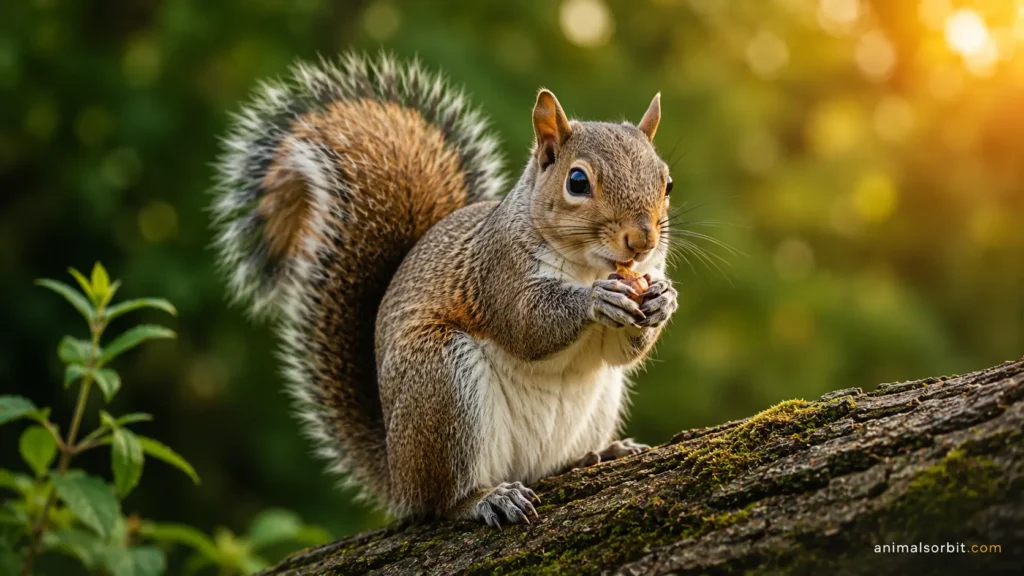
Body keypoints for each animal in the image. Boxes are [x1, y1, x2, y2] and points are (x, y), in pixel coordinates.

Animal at [211, 53, 678, 528]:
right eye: (578, 182)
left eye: (667, 183)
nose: (641, 241)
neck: (587, 266)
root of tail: (399, 477)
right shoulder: (497, 272)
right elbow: (527, 324)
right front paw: (596, 300)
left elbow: (620, 352)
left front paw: (663, 299)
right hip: (442, 382)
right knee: (441, 502)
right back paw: (485, 499)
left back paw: (599, 452)